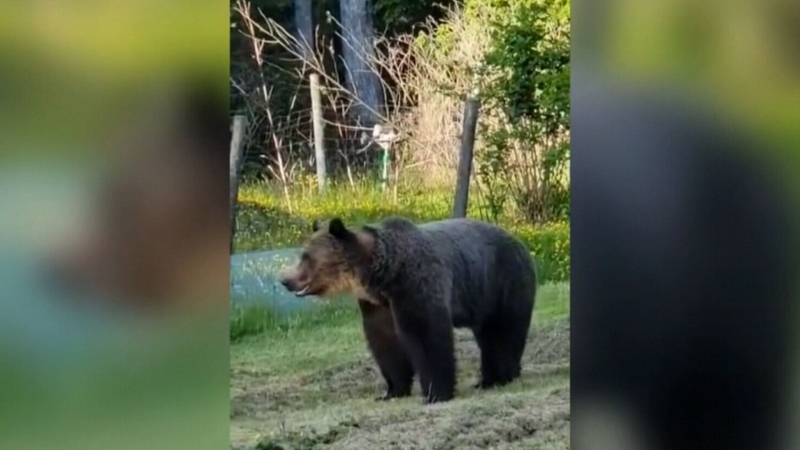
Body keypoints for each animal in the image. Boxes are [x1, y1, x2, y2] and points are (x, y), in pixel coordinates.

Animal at [278, 216, 536, 402]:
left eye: (306, 257)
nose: (285, 280)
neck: (382, 273)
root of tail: (521, 242)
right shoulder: (378, 304)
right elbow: (386, 343)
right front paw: (391, 390)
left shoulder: (415, 284)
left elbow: (427, 336)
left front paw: (435, 393)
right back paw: (489, 379)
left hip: (501, 283)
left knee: (502, 333)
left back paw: (500, 376)